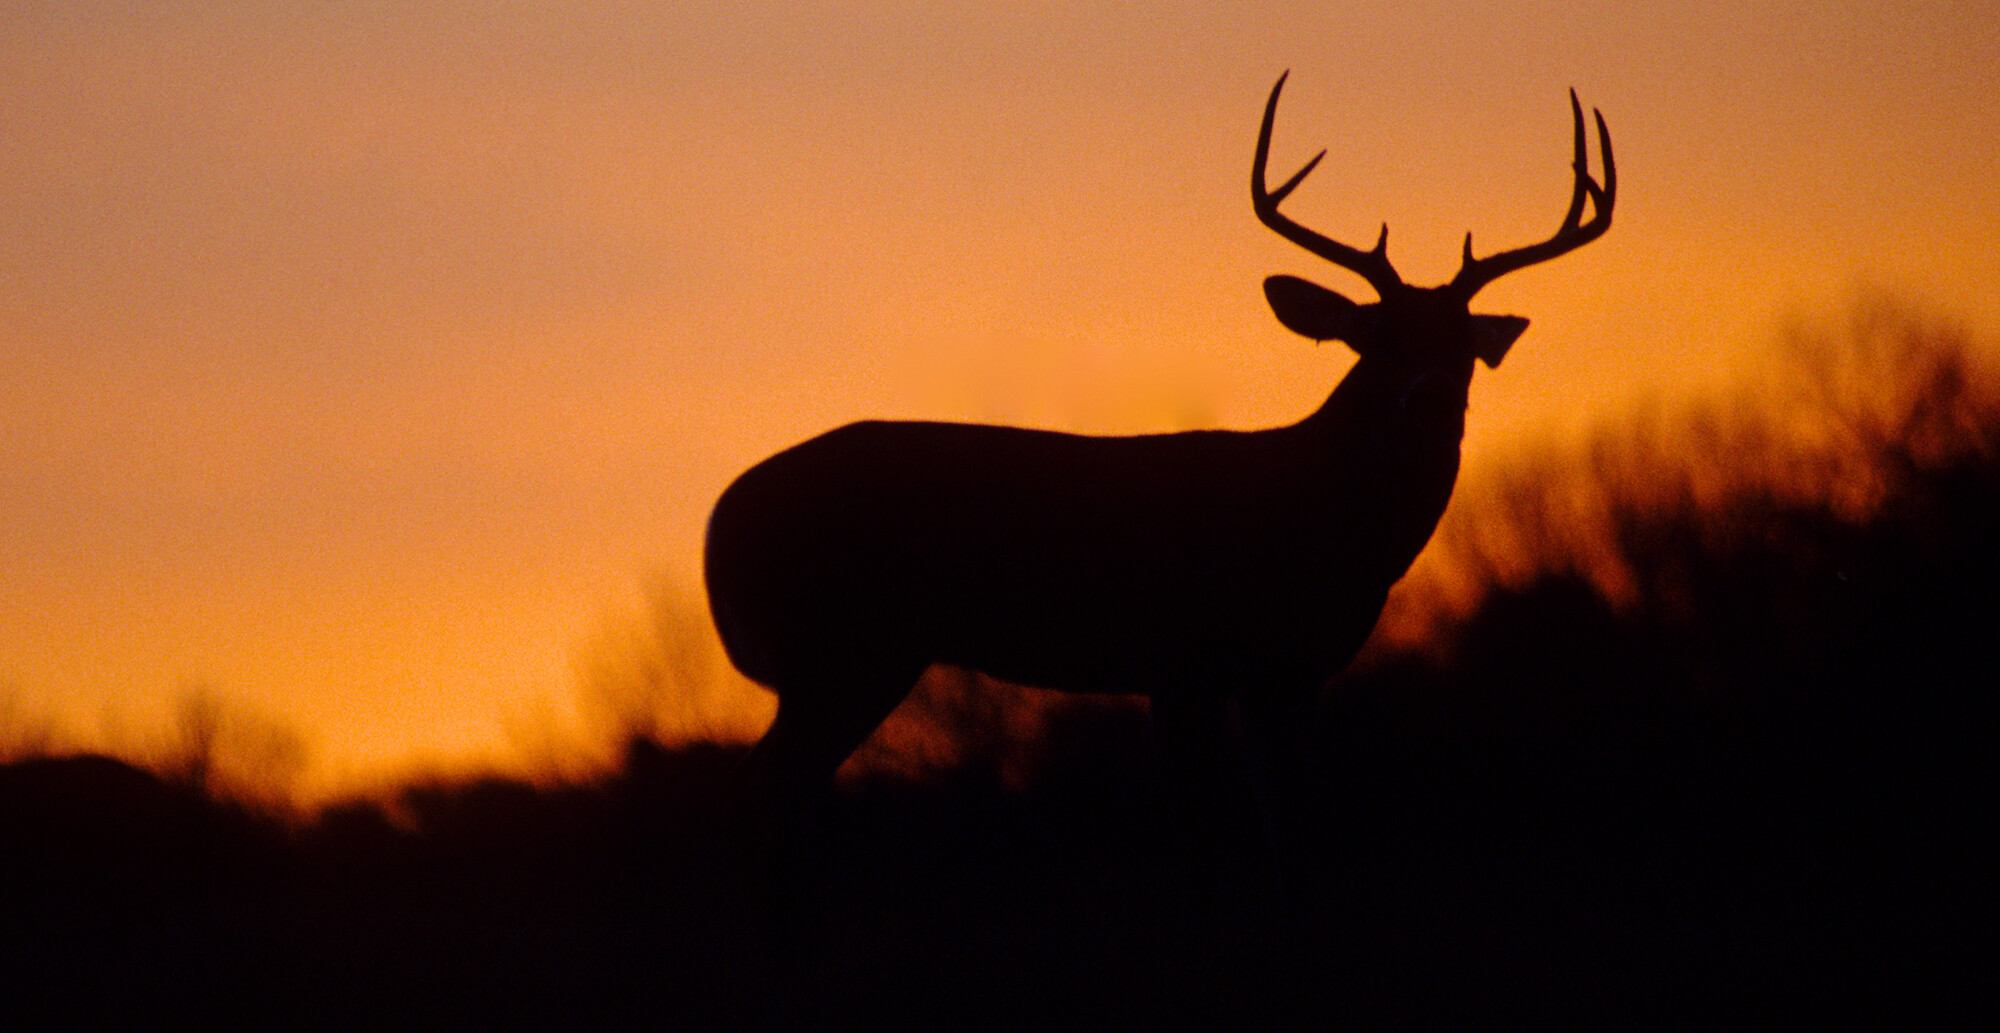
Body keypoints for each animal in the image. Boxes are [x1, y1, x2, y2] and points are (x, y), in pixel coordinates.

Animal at [705, 72, 1614, 885]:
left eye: (1461, 346)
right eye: (1375, 337)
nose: (1425, 397)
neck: (1313, 511)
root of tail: (720, 519)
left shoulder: (1285, 673)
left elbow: (1287, 831)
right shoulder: (1192, 658)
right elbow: (1212, 835)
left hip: (849, 659)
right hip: (841, 647)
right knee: (760, 792)